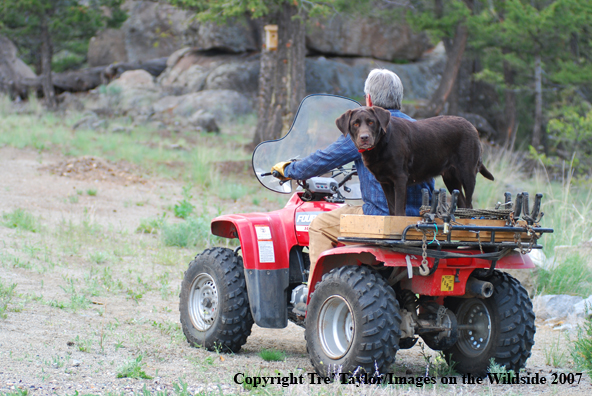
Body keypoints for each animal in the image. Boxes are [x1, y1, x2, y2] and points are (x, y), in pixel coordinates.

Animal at [336, 106, 492, 217]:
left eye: (371, 122)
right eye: (355, 124)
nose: (364, 137)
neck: (382, 144)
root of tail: (473, 127)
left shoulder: (400, 178)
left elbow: (399, 210)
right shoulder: (385, 182)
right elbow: (392, 209)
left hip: (467, 174)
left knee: (469, 205)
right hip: (450, 178)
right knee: (463, 204)